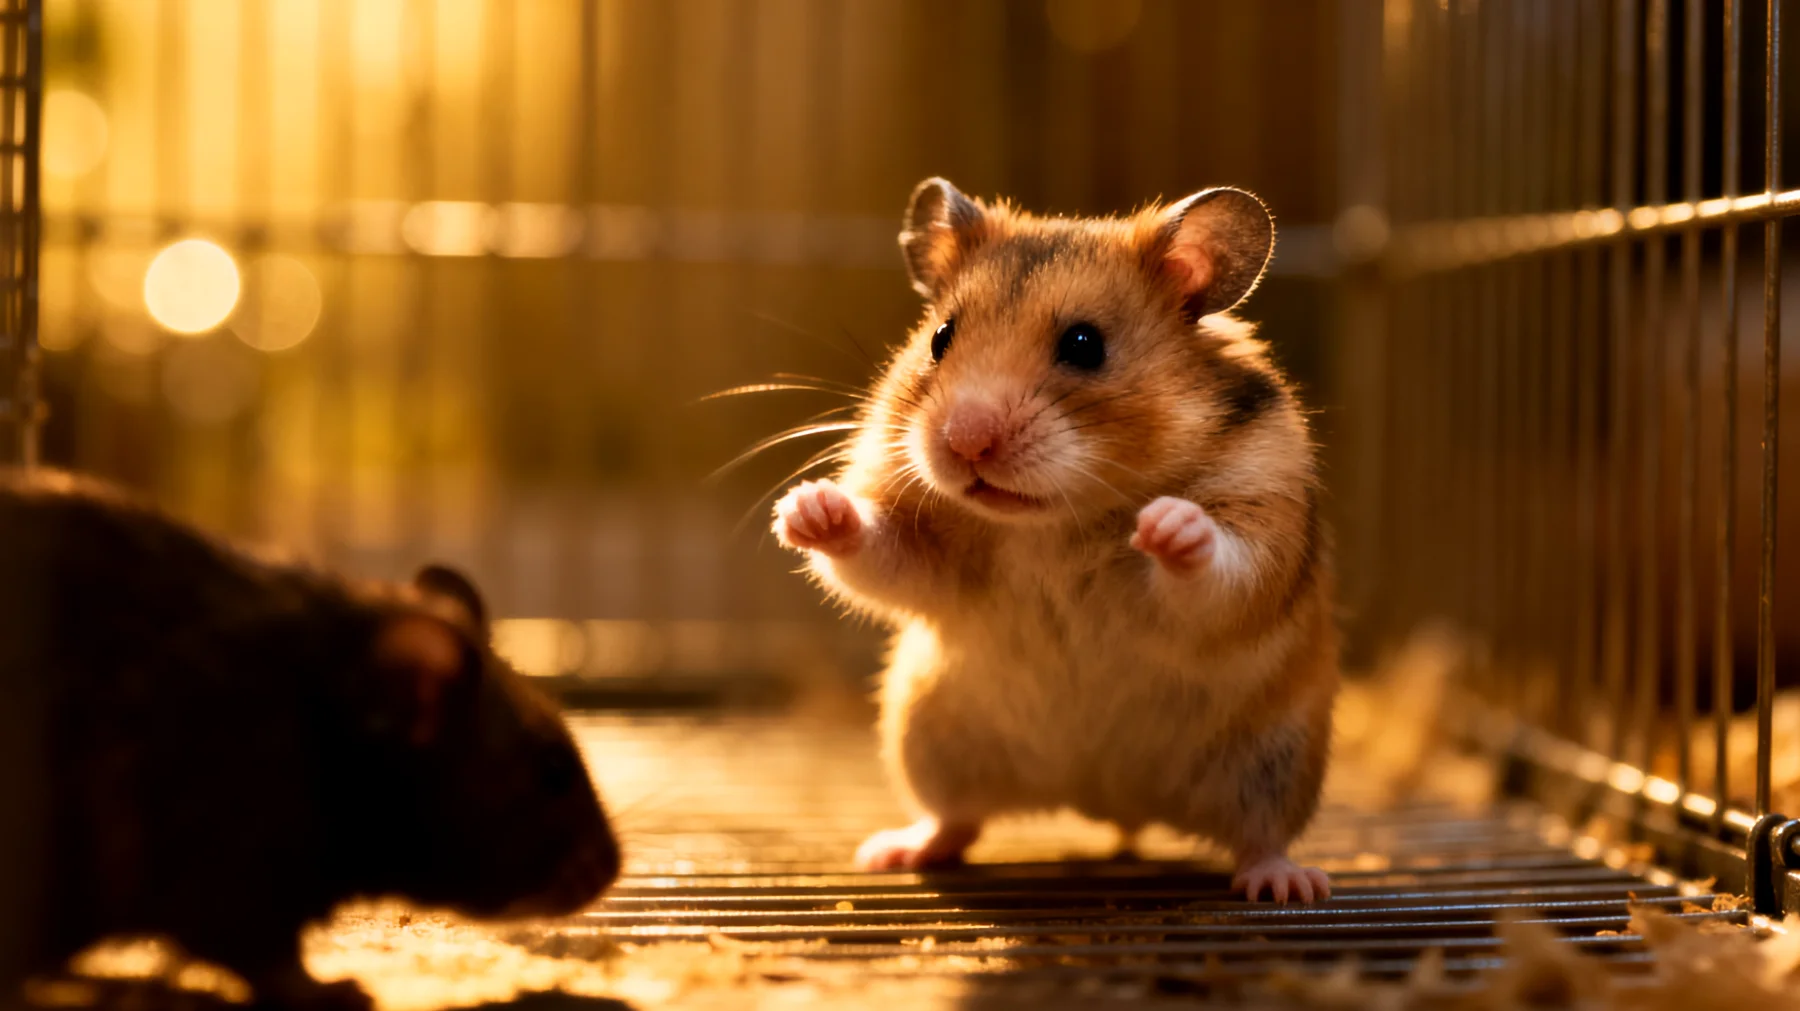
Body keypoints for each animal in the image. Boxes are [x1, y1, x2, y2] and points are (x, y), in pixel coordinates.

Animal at [773, 178, 1337, 903]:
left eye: (1084, 344)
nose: (966, 441)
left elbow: (1220, 571)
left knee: (1260, 835)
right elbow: (880, 553)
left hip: (1276, 757)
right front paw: (806, 507)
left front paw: (1166, 524)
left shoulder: (1262, 512)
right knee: (956, 818)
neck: (1050, 521)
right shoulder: (925, 545)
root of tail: (1103, 800)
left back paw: (1287, 885)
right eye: (940, 337)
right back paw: (895, 851)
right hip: (928, 735)